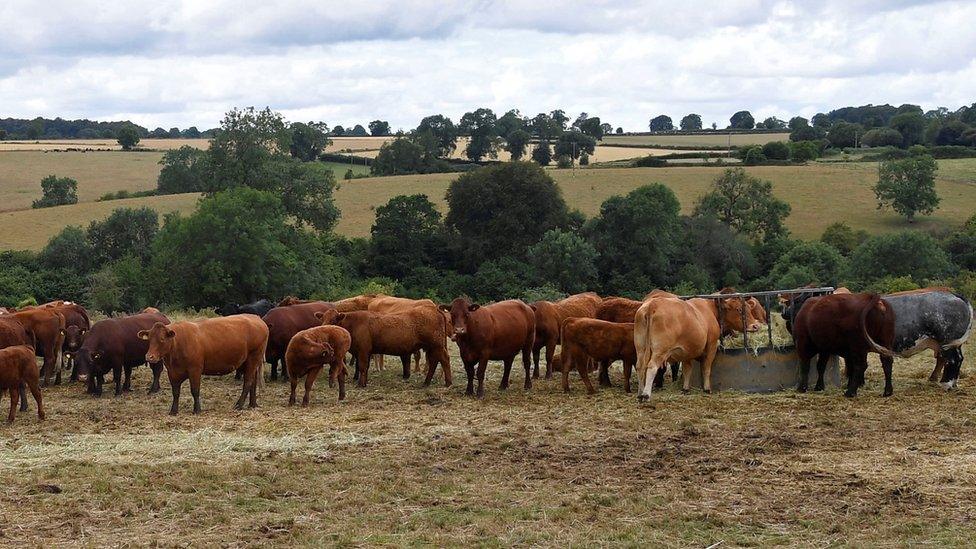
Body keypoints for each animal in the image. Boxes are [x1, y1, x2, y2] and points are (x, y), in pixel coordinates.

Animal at [139, 314, 268, 414]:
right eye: (149, 339)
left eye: (162, 339)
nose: (149, 356)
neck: (178, 344)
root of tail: (257, 318)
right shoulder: (172, 372)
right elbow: (175, 392)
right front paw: (173, 411)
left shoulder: (195, 370)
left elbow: (195, 390)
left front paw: (197, 410)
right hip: (251, 362)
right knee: (253, 382)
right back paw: (252, 404)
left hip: (253, 357)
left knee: (248, 382)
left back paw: (239, 405)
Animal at [320, 306, 458, 388]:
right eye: (323, 318)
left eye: (333, 320)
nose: (323, 328)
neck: (354, 323)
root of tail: (432, 308)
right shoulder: (364, 352)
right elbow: (364, 367)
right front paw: (364, 382)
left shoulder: (363, 351)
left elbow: (363, 367)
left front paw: (360, 384)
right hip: (431, 347)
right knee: (434, 361)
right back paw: (426, 382)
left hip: (436, 346)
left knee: (444, 359)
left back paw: (448, 383)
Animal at [632, 288, 764, 400]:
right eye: (739, 309)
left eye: (749, 308)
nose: (756, 326)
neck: (710, 309)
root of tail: (652, 304)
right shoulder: (711, 346)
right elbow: (706, 368)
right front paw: (707, 388)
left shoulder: (686, 350)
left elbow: (687, 369)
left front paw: (685, 389)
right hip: (660, 350)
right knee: (652, 366)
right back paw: (646, 394)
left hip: (641, 347)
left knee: (640, 366)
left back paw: (639, 393)